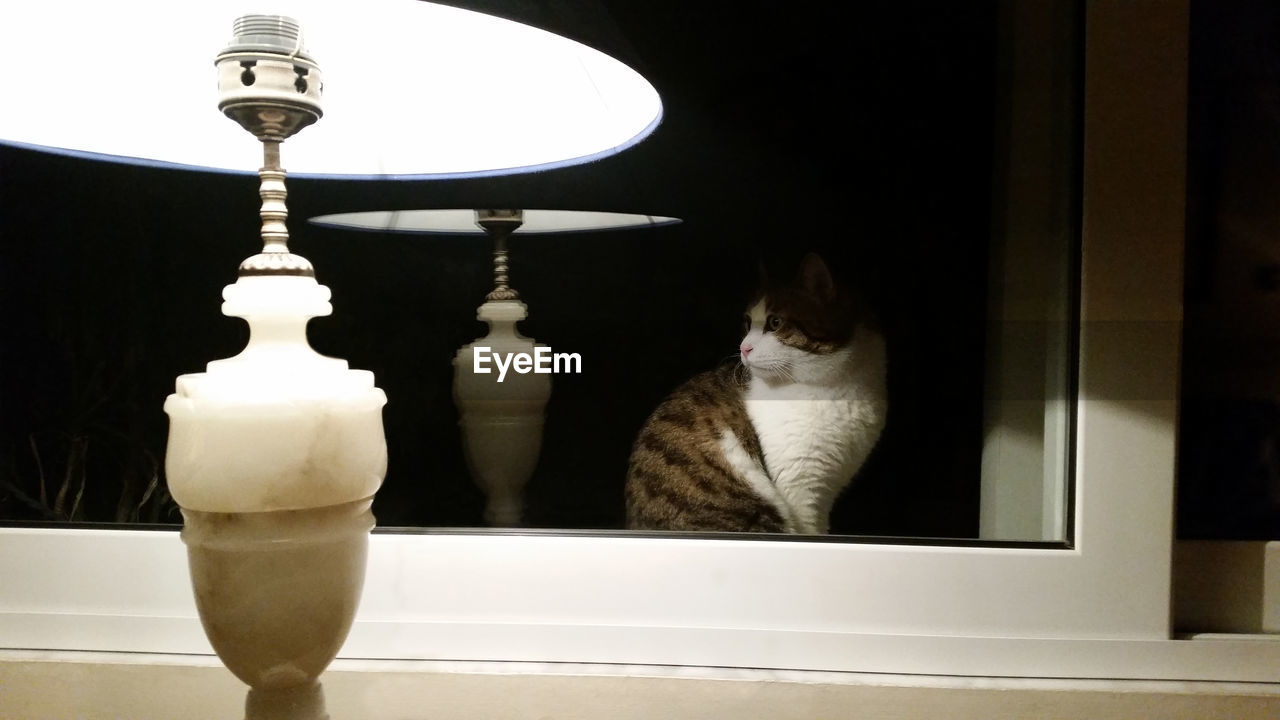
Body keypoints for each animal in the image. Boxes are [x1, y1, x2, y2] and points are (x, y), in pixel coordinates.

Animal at [622, 252, 885, 532]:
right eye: (747, 323)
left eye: (775, 323)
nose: (743, 347)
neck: (831, 386)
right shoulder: (800, 486)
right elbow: (811, 528)